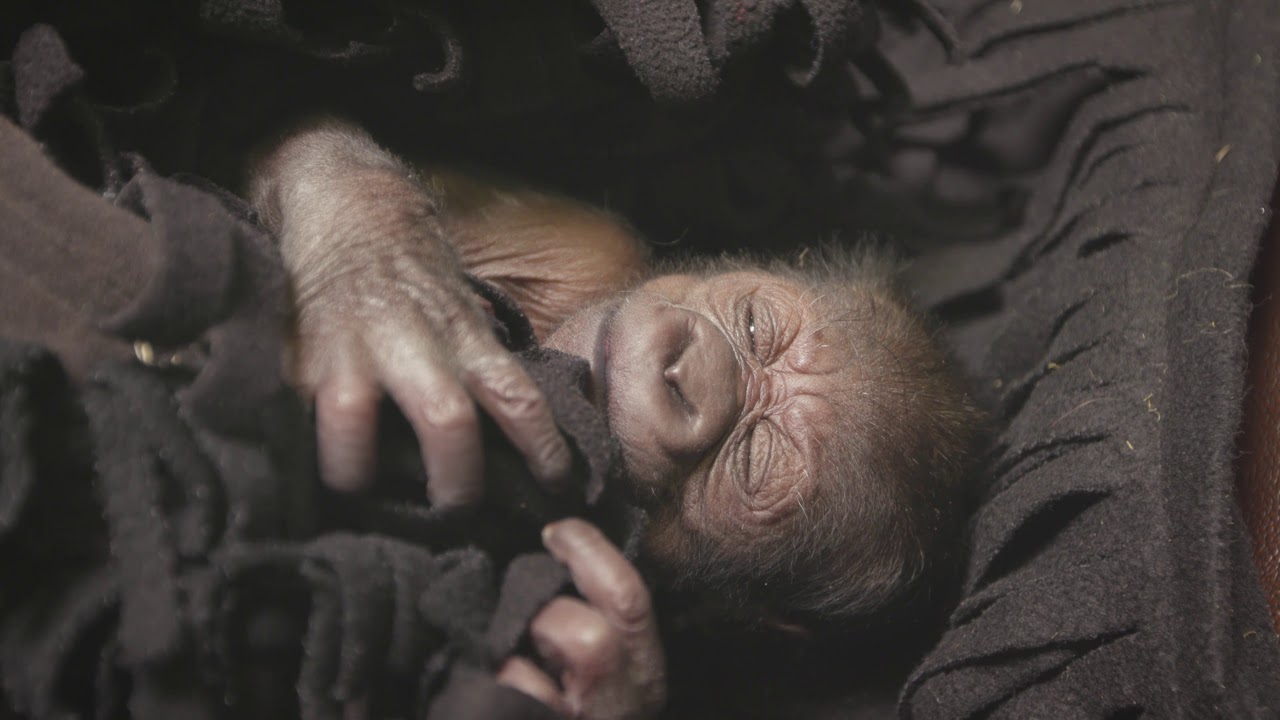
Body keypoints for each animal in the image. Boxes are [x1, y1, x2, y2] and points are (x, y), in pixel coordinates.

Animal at [248, 118, 983, 719]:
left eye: (752, 457)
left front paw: (605, 674)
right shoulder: (595, 248)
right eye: (754, 327)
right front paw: (380, 282)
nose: (686, 371)